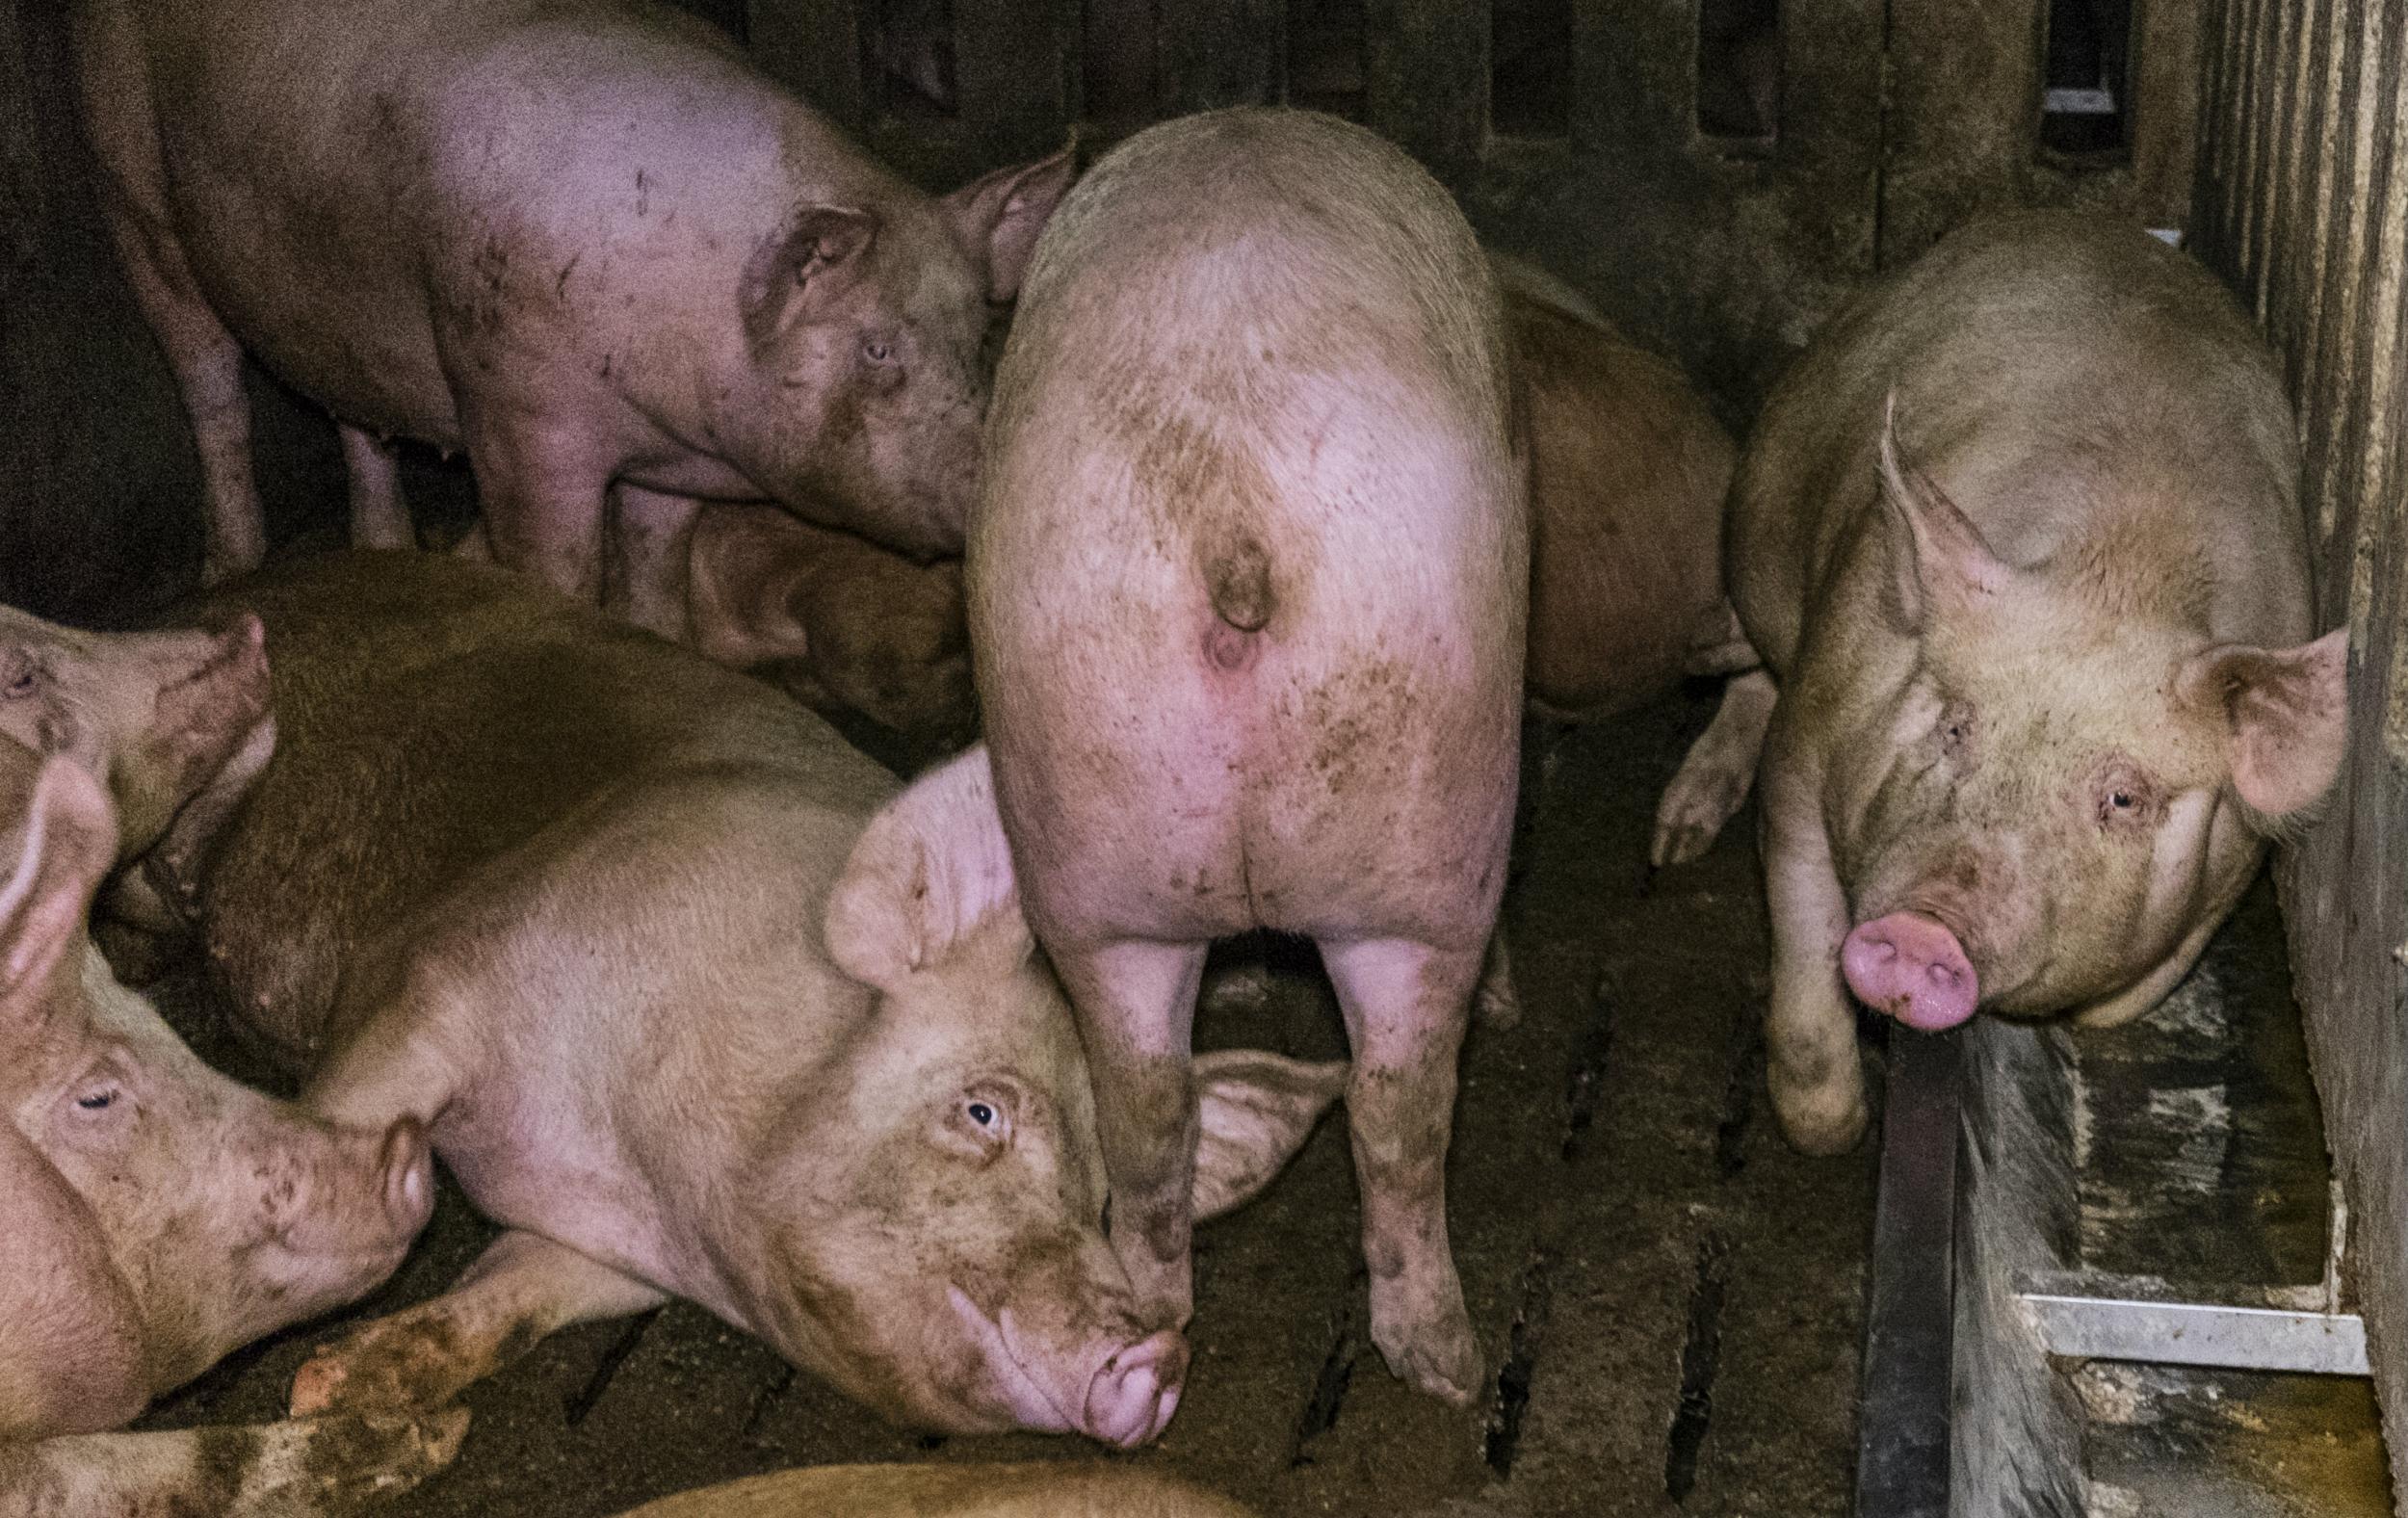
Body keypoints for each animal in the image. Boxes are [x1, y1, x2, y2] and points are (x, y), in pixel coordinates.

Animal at [72, 0, 1074, 626]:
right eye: (875, 350)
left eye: (981, 331)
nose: (991, 481)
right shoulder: (515, 408)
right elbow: (557, 565)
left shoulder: (674, 460)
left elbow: (658, 564)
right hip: (128, 183)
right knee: (211, 389)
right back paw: (238, 569)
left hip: (326, 296)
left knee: (351, 414)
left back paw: (386, 553)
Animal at [183, 556, 1358, 1454]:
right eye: (983, 1111)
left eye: (1111, 1198)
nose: (1156, 1355)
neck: (633, 1164)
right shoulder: (439, 979)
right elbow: (323, 1131)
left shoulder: (611, 1256)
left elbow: (511, 1296)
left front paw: (337, 1391)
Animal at [963, 110, 1512, 1416]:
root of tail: (1233, 511)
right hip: (1440, 836)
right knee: (1402, 1105)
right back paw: (1455, 1373)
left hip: (1098, 848)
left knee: (1151, 1106)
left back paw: (1185, 1320)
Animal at [1666, 214, 2341, 1161]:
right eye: (1955, 728)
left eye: (2124, 798)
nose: (1924, 925)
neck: (2123, 574)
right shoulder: (1810, 740)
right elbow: (1803, 927)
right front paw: (1836, 1134)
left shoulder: (2223, 883)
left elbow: (2108, 1009)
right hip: (1764, 508)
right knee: (1753, 655)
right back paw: (1676, 820)